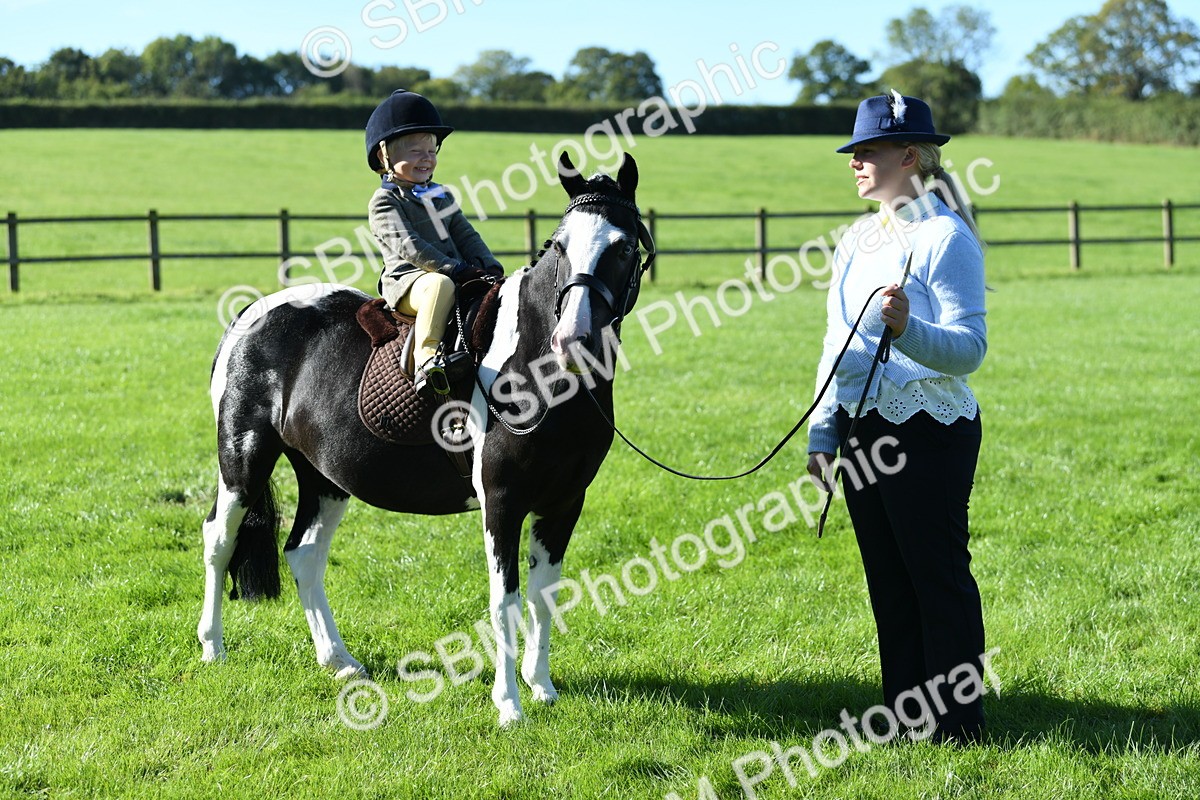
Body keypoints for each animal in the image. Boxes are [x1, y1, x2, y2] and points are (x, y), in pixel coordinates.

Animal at [198, 152, 653, 726]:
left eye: (623, 246)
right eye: (559, 245)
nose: (572, 340)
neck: (537, 371)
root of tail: (251, 314)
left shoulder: (564, 503)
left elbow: (545, 595)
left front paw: (542, 687)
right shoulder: (502, 503)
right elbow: (504, 601)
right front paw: (509, 706)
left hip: (324, 477)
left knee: (303, 554)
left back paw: (339, 661)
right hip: (244, 458)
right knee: (219, 539)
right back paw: (213, 647)